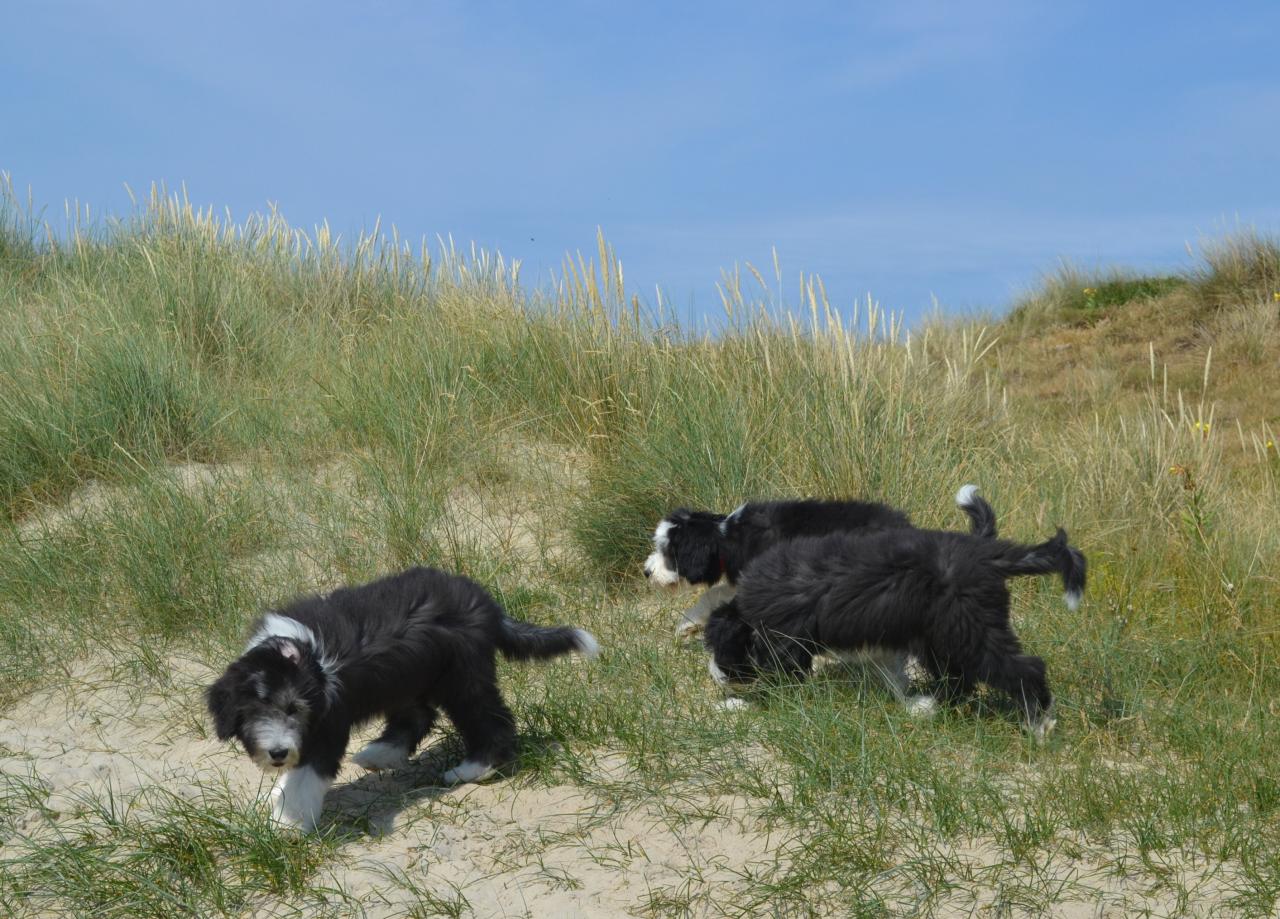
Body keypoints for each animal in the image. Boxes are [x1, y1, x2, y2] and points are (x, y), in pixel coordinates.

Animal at [206, 568, 599, 834]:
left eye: (293, 709)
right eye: (253, 712)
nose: (277, 753)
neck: (305, 658)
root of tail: (487, 604)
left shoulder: (328, 724)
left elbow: (306, 776)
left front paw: (286, 824)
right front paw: (274, 797)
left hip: (462, 676)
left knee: (489, 718)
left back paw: (473, 768)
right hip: (408, 677)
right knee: (419, 715)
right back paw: (380, 753)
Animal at [706, 522, 1085, 747]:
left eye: (722, 652)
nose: (718, 677)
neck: (751, 612)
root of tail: (988, 556)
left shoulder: (785, 643)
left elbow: (776, 685)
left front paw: (733, 706)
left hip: (970, 629)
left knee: (1024, 668)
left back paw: (1038, 724)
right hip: (942, 635)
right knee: (960, 680)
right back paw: (927, 707)